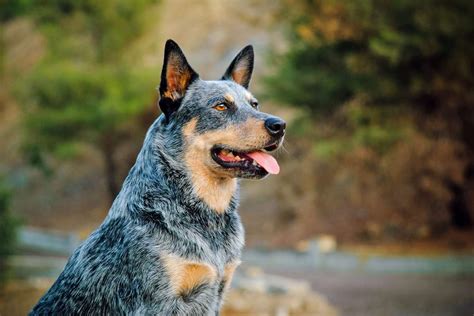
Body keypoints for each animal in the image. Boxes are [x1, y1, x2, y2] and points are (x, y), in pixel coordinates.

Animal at [30, 40, 286, 316]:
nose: (280, 125)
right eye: (221, 106)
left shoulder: (218, 291)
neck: (208, 218)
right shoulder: (159, 302)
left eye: (254, 104)